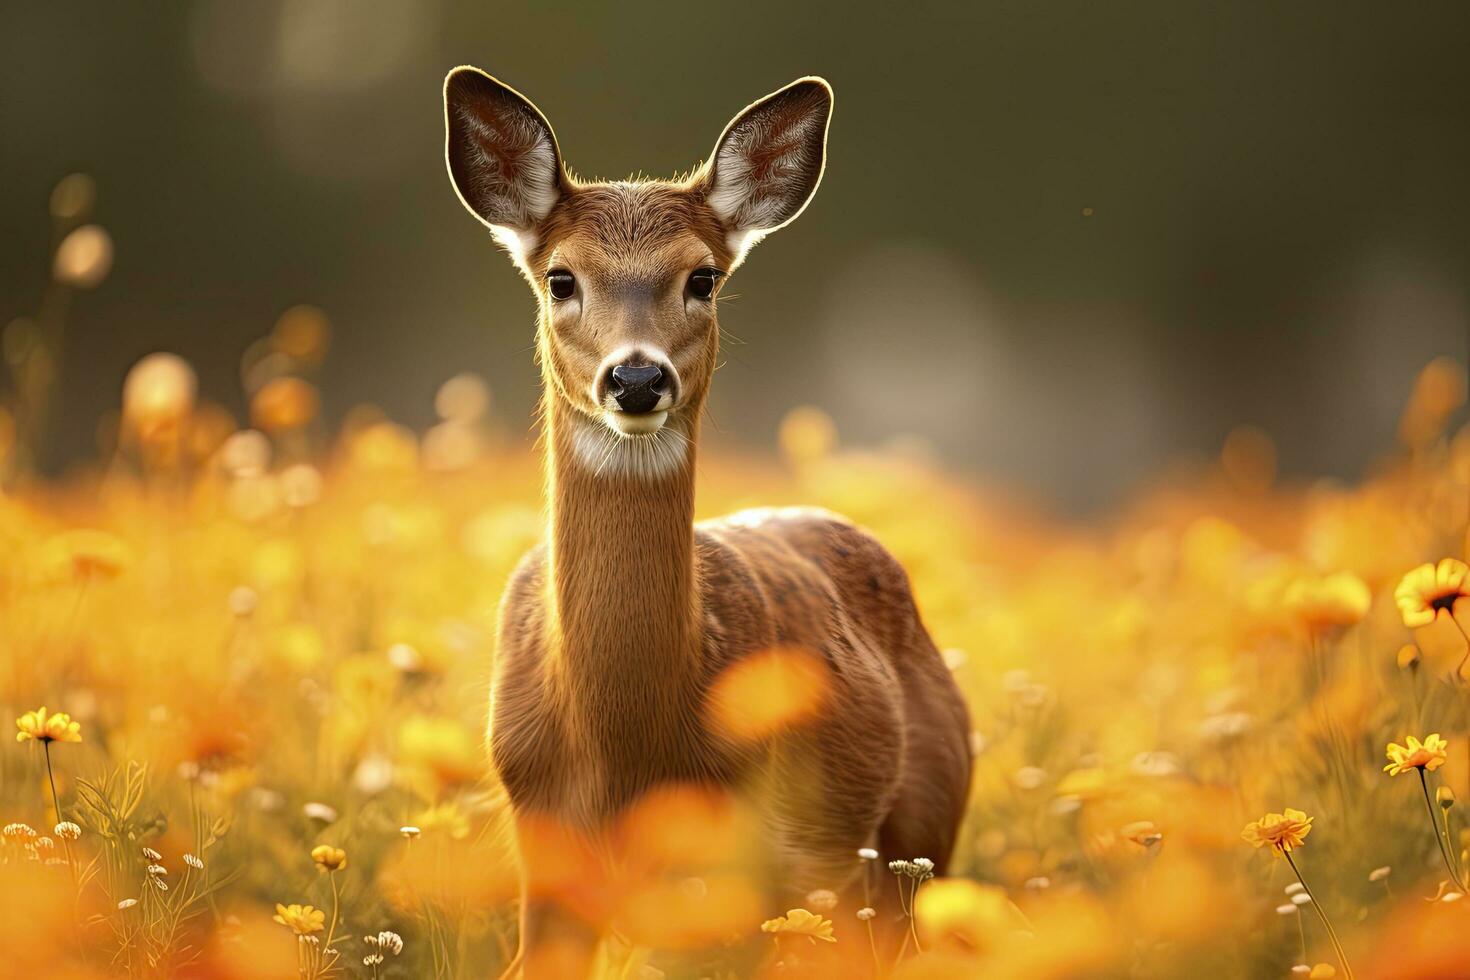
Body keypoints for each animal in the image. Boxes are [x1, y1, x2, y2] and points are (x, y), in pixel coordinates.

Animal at [443, 67, 976, 975]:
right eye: (560, 277)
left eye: (703, 278)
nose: (635, 379)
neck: (624, 755)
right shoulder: (545, 862)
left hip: (899, 854)